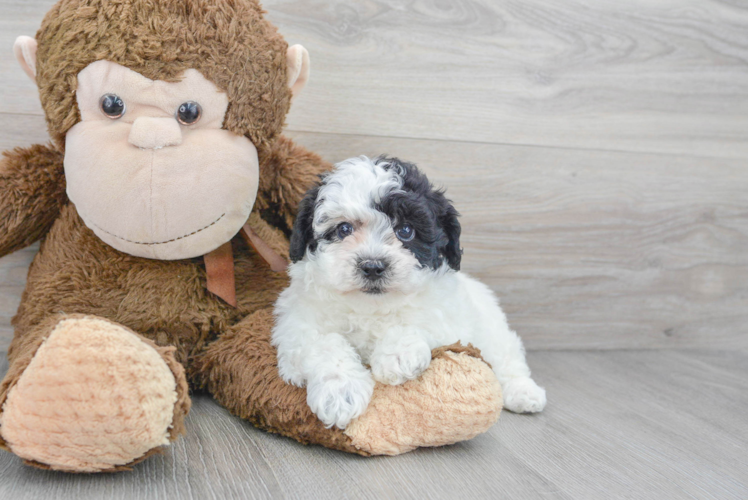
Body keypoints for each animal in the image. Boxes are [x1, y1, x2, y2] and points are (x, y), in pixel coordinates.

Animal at [272, 157, 548, 430]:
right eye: (343, 229)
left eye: (406, 231)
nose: (372, 266)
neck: (370, 307)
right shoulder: (297, 324)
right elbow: (324, 343)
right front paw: (341, 393)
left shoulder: (447, 317)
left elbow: (417, 323)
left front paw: (396, 356)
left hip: (492, 328)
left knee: (507, 357)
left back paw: (524, 393)